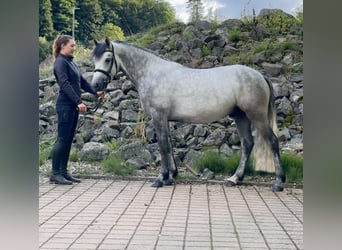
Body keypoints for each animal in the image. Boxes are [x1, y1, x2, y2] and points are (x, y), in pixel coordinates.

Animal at [89, 38, 284, 191]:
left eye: (107, 59)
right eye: (94, 60)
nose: (96, 85)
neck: (152, 73)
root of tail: (260, 75)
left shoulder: (158, 117)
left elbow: (162, 146)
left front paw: (161, 178)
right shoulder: (165, 119)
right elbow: (169, 145)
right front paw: (171, 176)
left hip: (256, 116)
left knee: (273, 141)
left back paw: (278, 183)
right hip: (241, 116)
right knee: (247, 144)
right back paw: (235, 179)